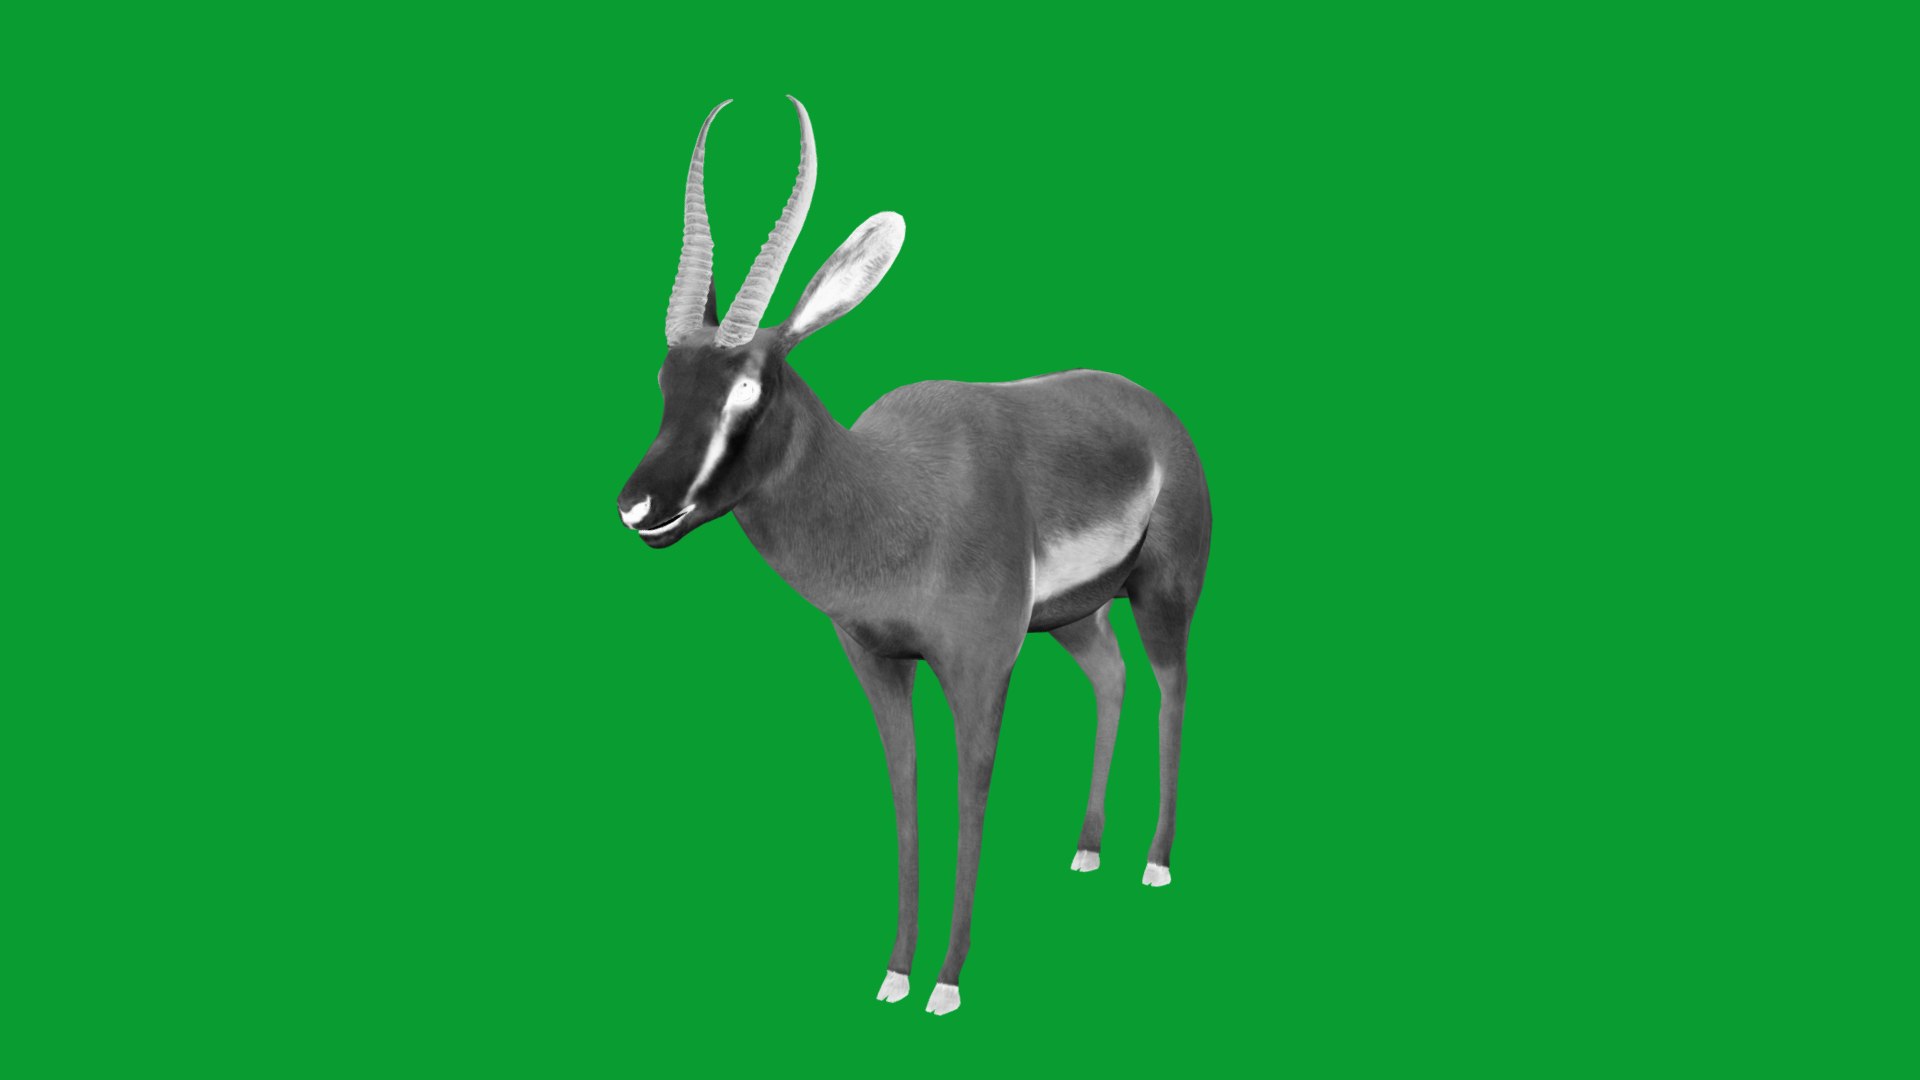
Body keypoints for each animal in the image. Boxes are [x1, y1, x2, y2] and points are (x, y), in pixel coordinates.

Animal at [616, 97, 1212, 1016]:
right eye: (665, 382)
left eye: (749, 384)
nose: (639, 505)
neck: (891, 503)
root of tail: (1154, 408)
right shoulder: (878, 662)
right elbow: (906, 786)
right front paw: (895, 972)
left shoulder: (980, 664)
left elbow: (971, 790)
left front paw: (947, 982)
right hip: (1075, 619)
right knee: (1112, 678)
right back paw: (1087, 850)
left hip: (1163, 594)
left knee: (1172, 691)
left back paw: (1153, 862)